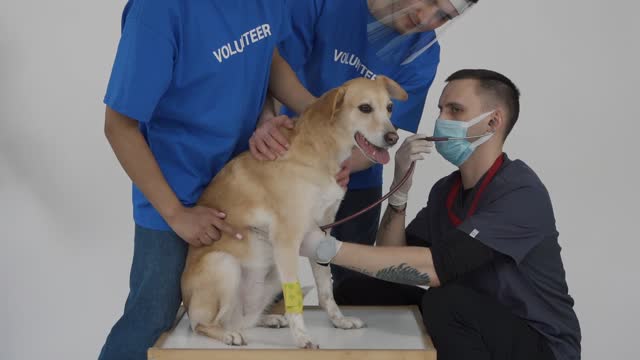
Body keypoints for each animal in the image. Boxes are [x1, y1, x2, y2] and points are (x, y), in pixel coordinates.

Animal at [182, 75, 408, 348]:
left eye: (390, 108)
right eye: (365, 108)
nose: (393, 137)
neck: (321, 150)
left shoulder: (322, 233)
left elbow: (325, 289)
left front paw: (339, 321)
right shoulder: (287, 239)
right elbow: (295, 299)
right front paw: (302, 337)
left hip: (270, 274)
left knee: (244, 319)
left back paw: (266, 319)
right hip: (224, 264)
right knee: (202, 325)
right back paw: (227, 334)